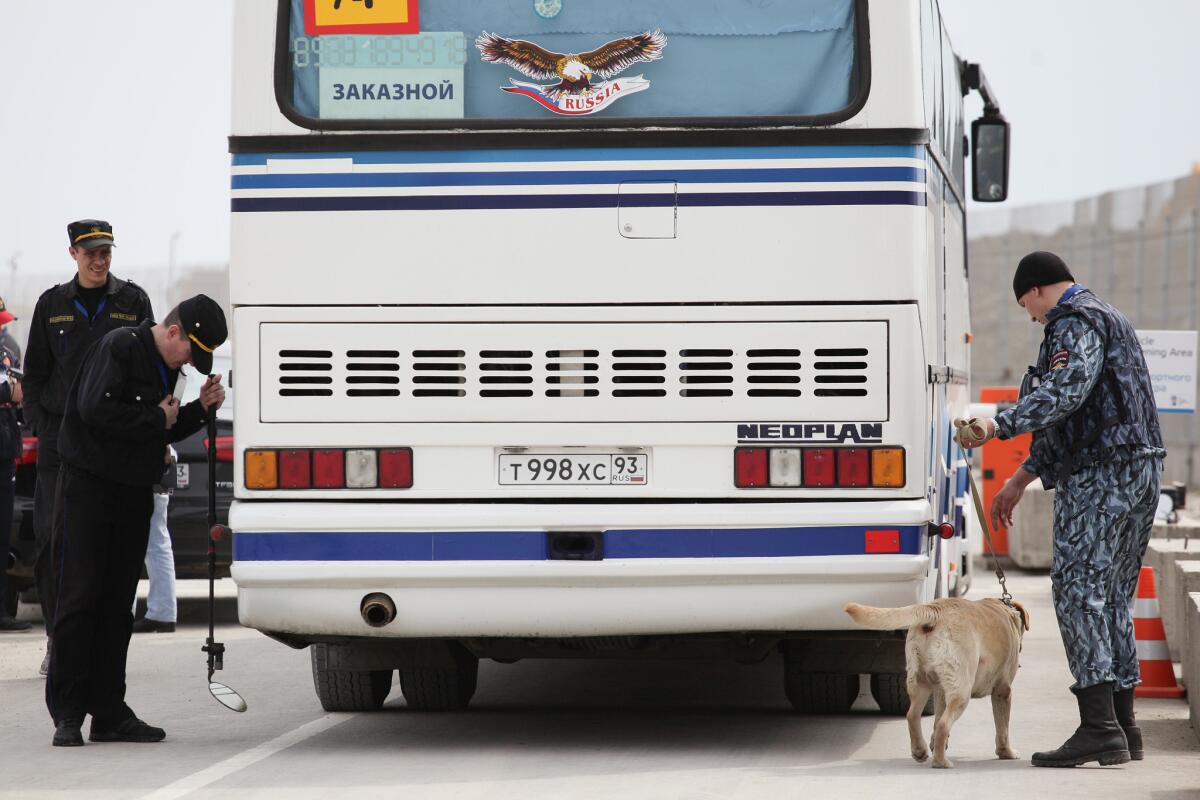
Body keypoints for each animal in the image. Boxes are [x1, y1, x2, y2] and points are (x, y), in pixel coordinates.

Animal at [844, 599, 1032, 767]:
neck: (1005, 609)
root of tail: (936, 610)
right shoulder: (1003, 691)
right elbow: (1003, 728)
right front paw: (1006, 752)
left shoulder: (941, 691)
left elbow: (936, 719)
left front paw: (936, 744)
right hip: (961, 691)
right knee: (943, 723)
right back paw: (941, 762)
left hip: (919, 681)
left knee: (913, 715)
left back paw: (920, 750)